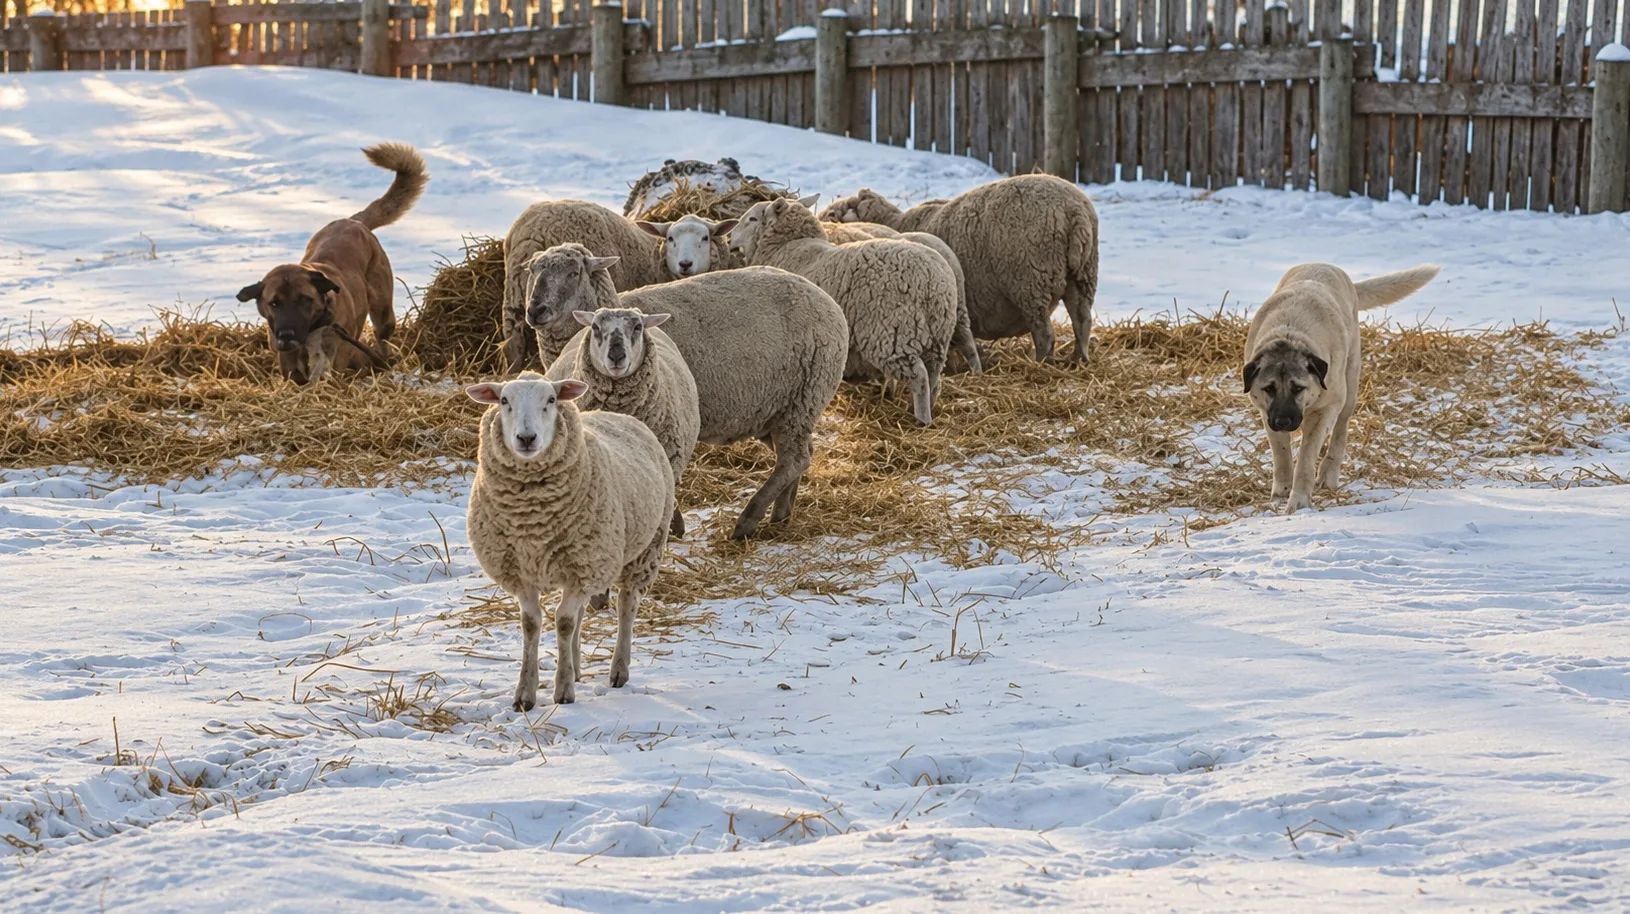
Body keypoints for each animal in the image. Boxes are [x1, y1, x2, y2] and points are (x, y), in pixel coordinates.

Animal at [465, 372, 675, 709]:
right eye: (504, 400)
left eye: (551, 400)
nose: (526, 438)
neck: (532, 518)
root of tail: (616, 414)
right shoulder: (524, 571)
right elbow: (532, 623)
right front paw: (525, 693)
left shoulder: (582, 565)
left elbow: (563, 622)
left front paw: (563, 690)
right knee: (580, 613)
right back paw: (576, 667)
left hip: (643, 550)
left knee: (626, 607)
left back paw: (618, 670)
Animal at [730, 197, 957, 427]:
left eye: (752, 218)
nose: (730, 238)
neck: (788, 245)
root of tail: (932, 279)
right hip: (936, 337)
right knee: (933, 378)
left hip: (893, 333)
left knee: (919, 377)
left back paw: (921, 419)